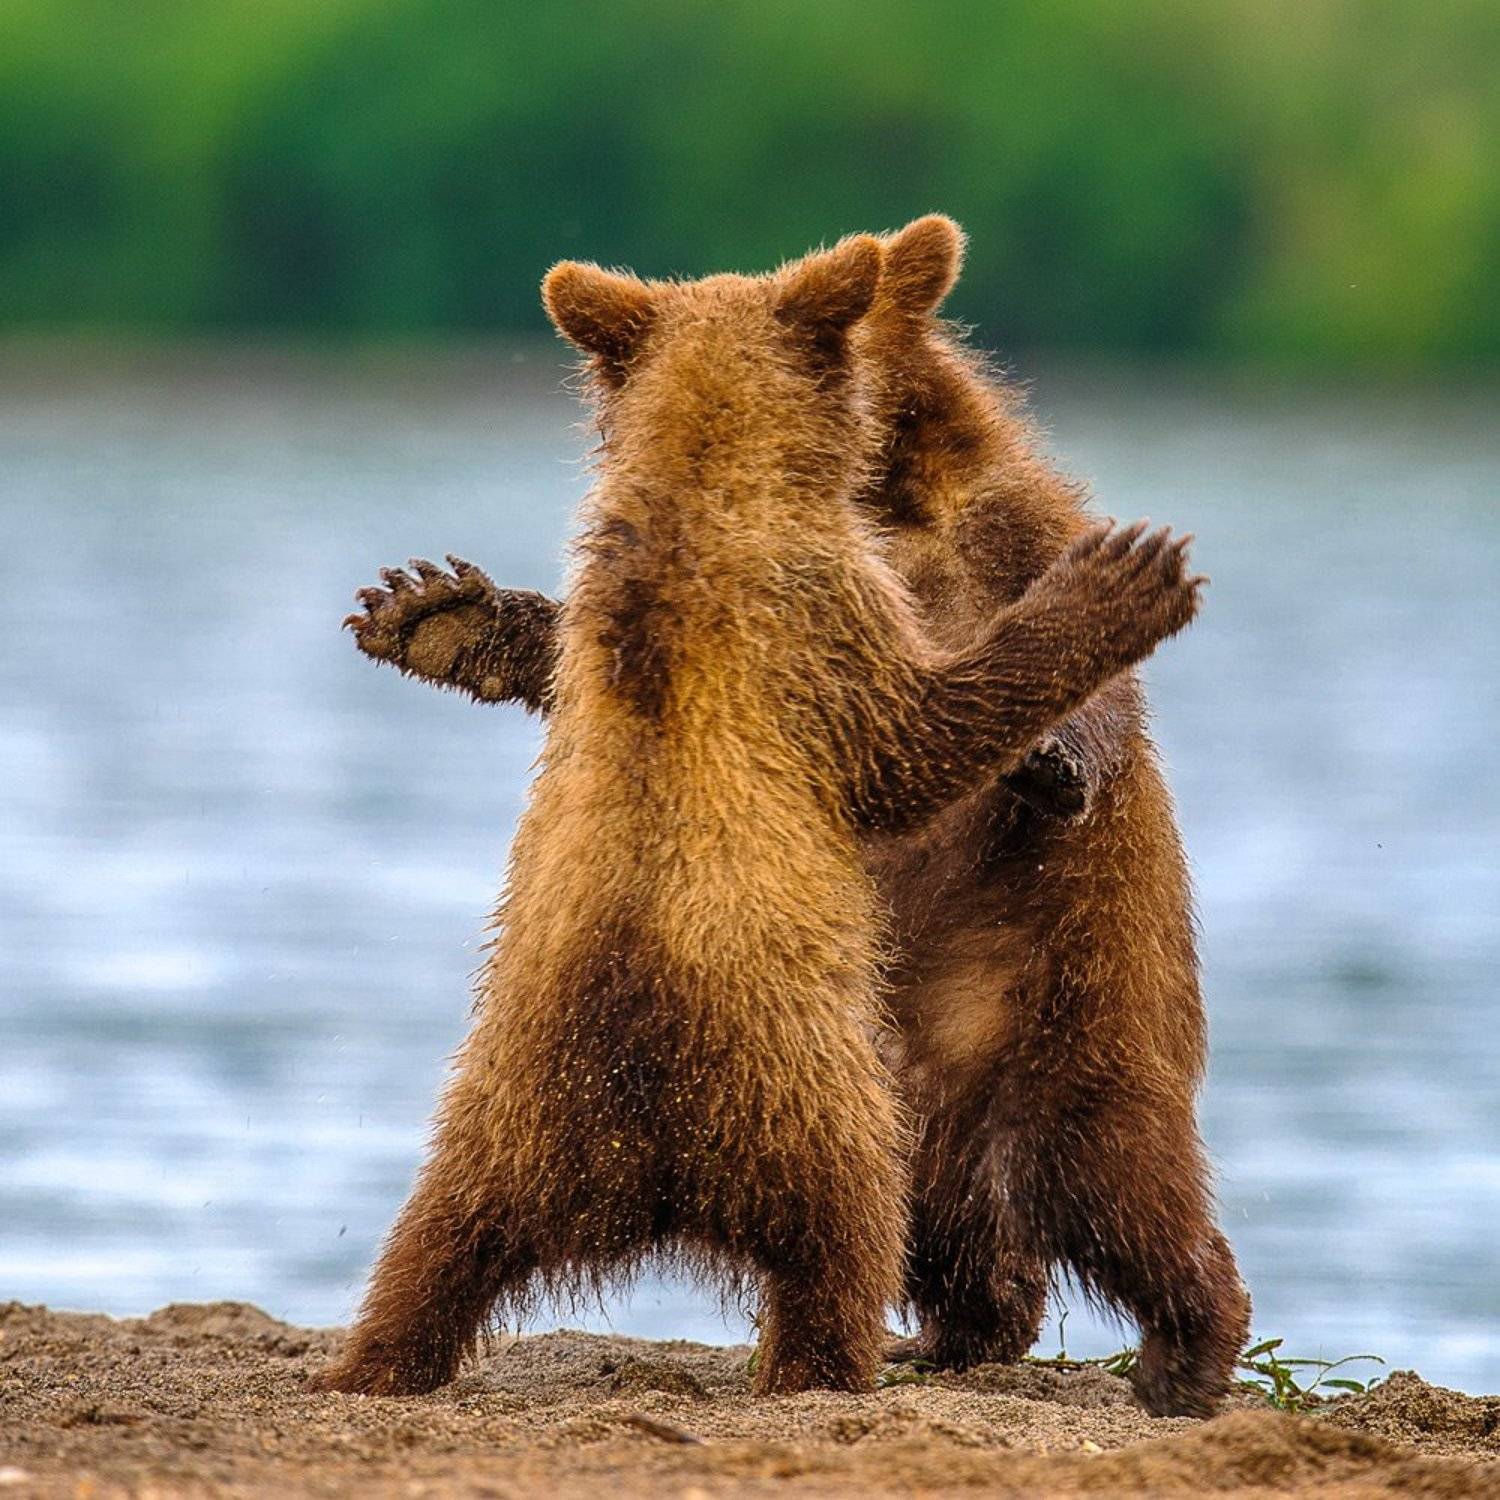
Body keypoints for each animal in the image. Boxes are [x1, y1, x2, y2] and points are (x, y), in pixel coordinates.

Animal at [318, 233, 1205, 1400]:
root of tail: (638, 1153)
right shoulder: (824, 625)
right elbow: (917, 738)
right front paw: (433, 609)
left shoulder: (987, 537)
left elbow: (1054, 693)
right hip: (826, 1102)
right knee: (920, 1226)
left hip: (1054, 1000)